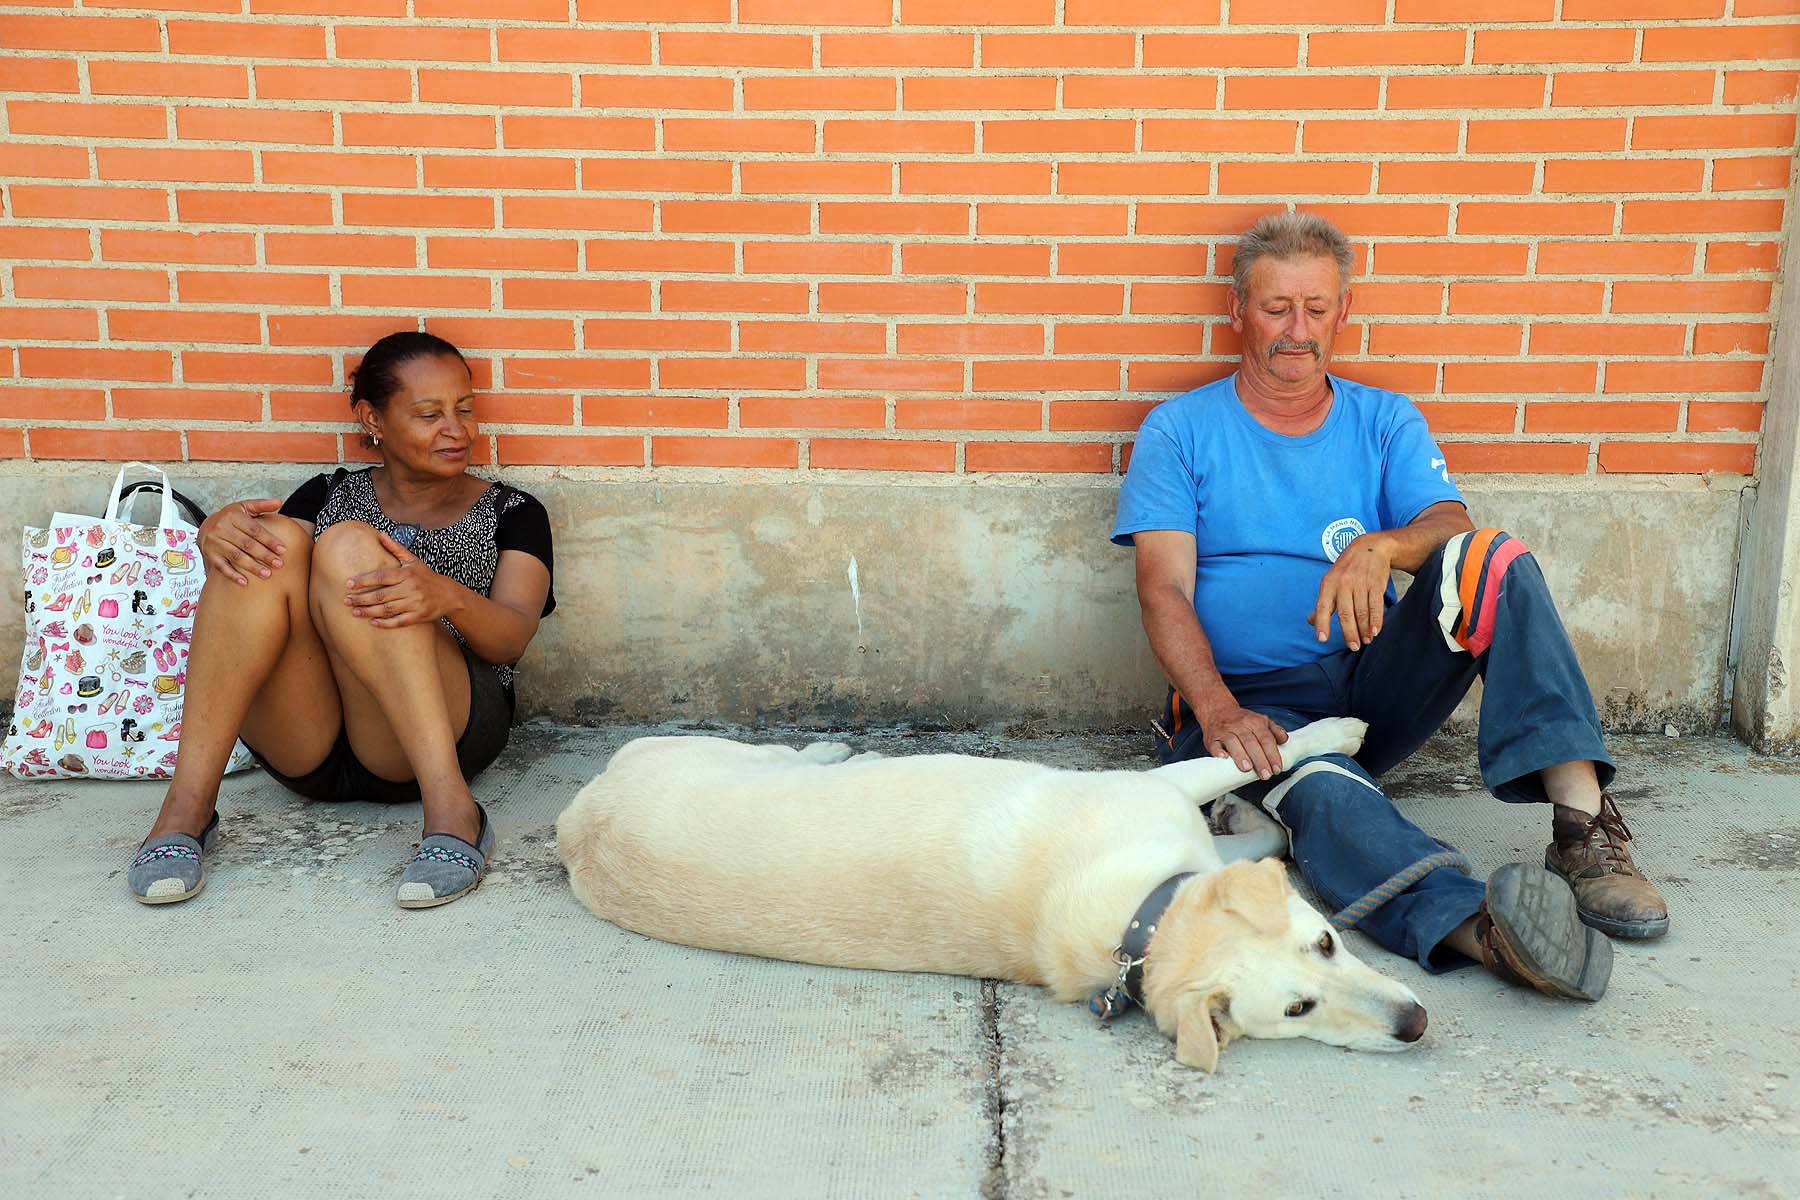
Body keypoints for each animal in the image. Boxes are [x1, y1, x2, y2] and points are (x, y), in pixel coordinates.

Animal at [554, 719, 1425, 1072]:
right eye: (1298, 1009)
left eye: (1327, 943)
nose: (1416, 1026)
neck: (1144, 926)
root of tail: (574, 824)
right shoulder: (1164, 786)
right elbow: (1257, 752)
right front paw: (1335, 736)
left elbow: (1259, 838)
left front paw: (1260, 817)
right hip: (719, 752)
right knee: (793, 753)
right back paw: (838, 750)